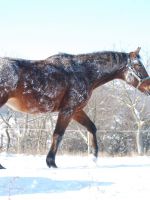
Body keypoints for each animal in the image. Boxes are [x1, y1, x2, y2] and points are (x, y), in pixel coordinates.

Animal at [0, 47, 150, 169]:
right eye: (138, 65)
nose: (149, 87)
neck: (83, 72)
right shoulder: (68, 110)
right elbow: (58, 134)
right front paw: (51, 163)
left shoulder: (77, 110)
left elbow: (92, 128)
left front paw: (93, 159)